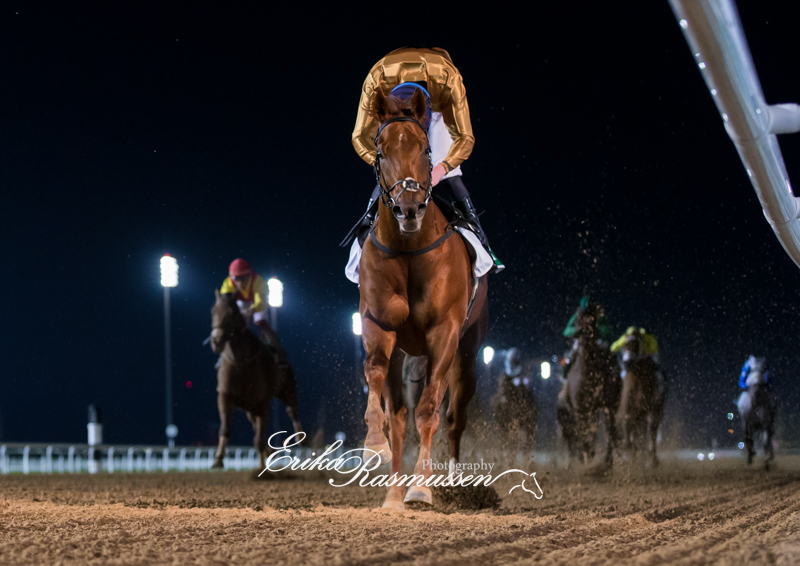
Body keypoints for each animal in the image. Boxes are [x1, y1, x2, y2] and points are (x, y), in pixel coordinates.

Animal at [209, 292, 304, 470]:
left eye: (232, 313)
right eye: (213, 311)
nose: (216, 341)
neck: (240, 361)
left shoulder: (263, 401)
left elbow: (259, 438)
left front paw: (262, 467)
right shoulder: (224, 396)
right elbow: (225, 428)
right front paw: (218, 459)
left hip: (288, 390)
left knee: (292, 411)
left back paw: (301, 439)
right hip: (250, 408)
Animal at [360, 86, 488, 512]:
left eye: (424, 149)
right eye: (381, 150)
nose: (409, 207)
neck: (409, 248)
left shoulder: (444, 332)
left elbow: (430, 410)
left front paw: (422, 488)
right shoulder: (378, 323)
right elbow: (376, 377)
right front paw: (374, 447)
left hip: (467, 350)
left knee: (453, 416)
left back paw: (450, 480)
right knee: (400, 415)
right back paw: (393, 492)